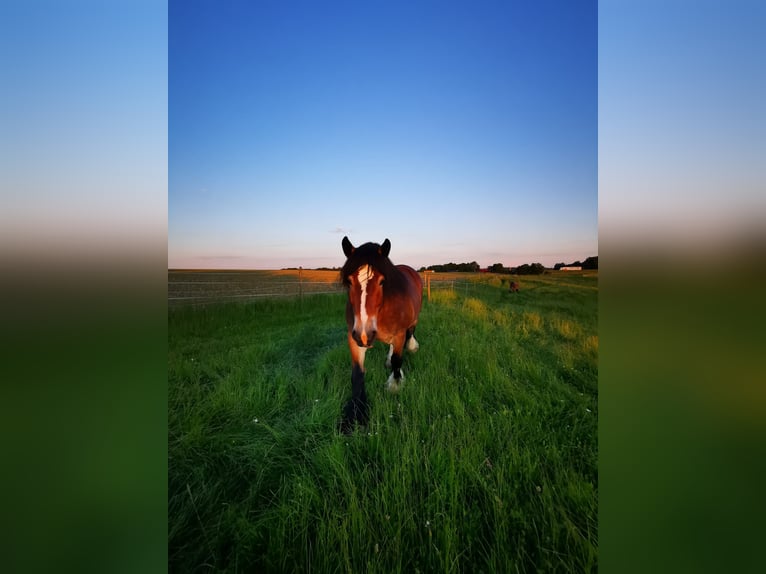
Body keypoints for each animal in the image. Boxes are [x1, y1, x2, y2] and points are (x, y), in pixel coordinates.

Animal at [342, 237, 426, 432]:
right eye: (349, 281)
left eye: (381, 281)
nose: (364, 335)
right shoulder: (354, 337)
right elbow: (357, 374)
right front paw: (356, 415)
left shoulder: (399, 334)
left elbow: (397, 360)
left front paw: (394, 385)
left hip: (412, 321)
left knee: (410, 334)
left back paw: (411, 346)